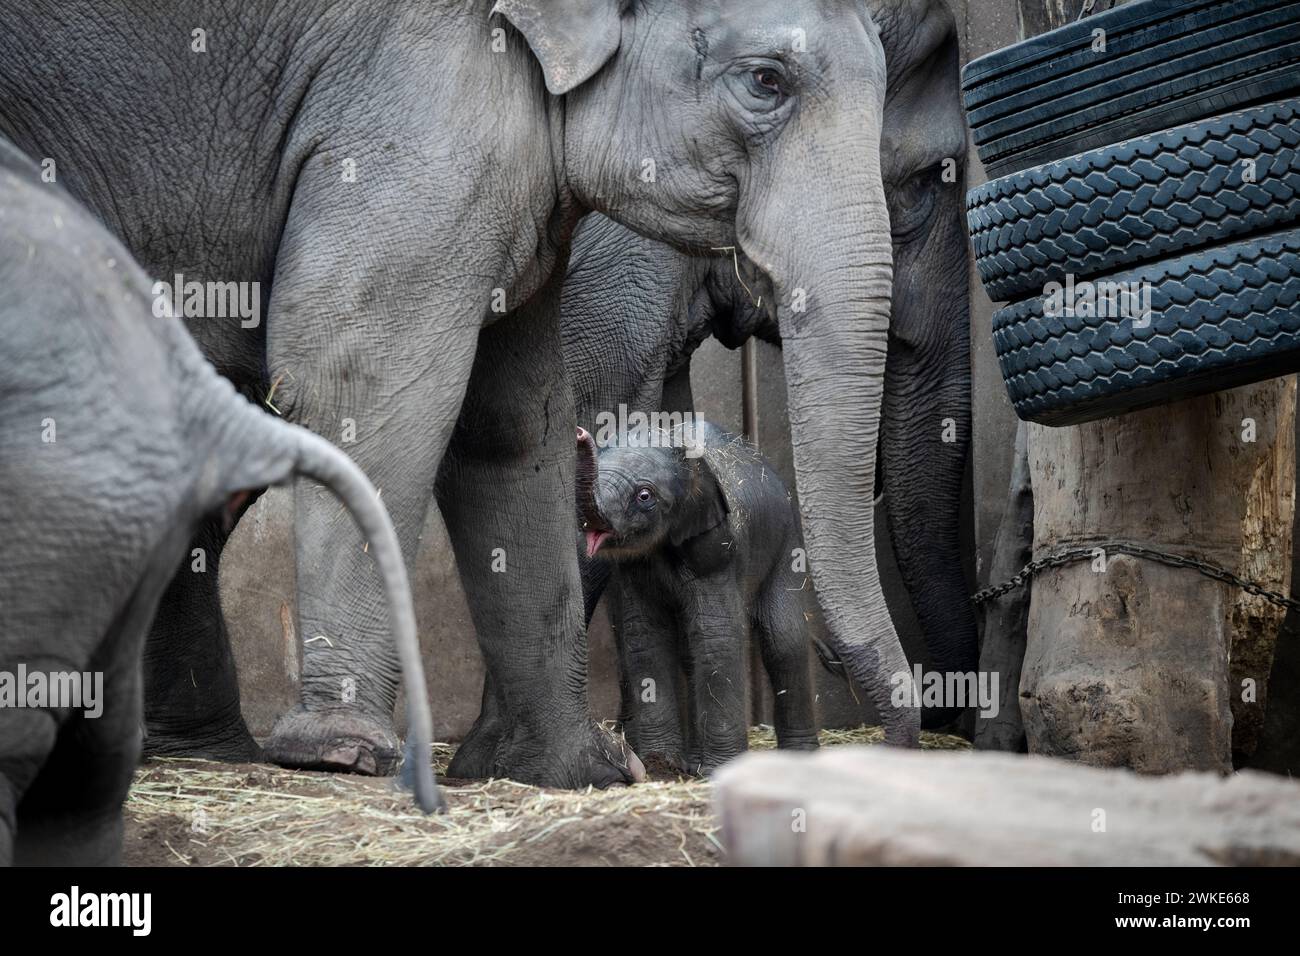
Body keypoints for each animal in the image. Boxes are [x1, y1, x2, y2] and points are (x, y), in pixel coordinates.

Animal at [577, 421, 816, 775]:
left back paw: (800, 760)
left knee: (784, 640)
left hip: (786, 542)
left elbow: (717, 637)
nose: (580, 433)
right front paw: (660, 766)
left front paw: (720, 769)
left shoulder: (717, 547)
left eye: (645, 496)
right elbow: (644, 637)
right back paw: (693, 764)